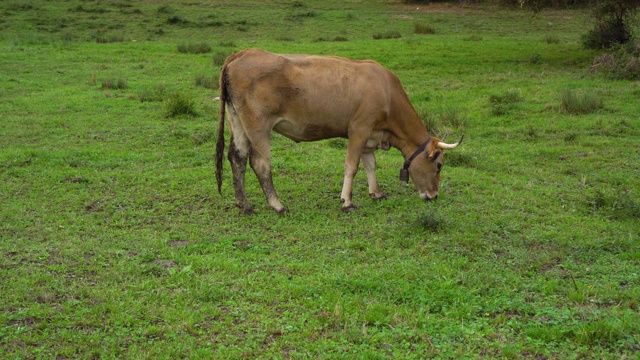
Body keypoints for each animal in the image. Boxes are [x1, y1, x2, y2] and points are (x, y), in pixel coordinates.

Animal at [214, 48, 460, 214]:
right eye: (439, 165)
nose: (434, 196)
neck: (386, 92)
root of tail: (243, 53)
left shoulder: (371, 135)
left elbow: (371, 165)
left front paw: (376, 193)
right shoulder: (359, 129)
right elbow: (352, 166)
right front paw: (347, 202)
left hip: (238, 121)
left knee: (237, 157)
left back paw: (244, 204)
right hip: (258, 125)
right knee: (260, 162)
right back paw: (277, 205)